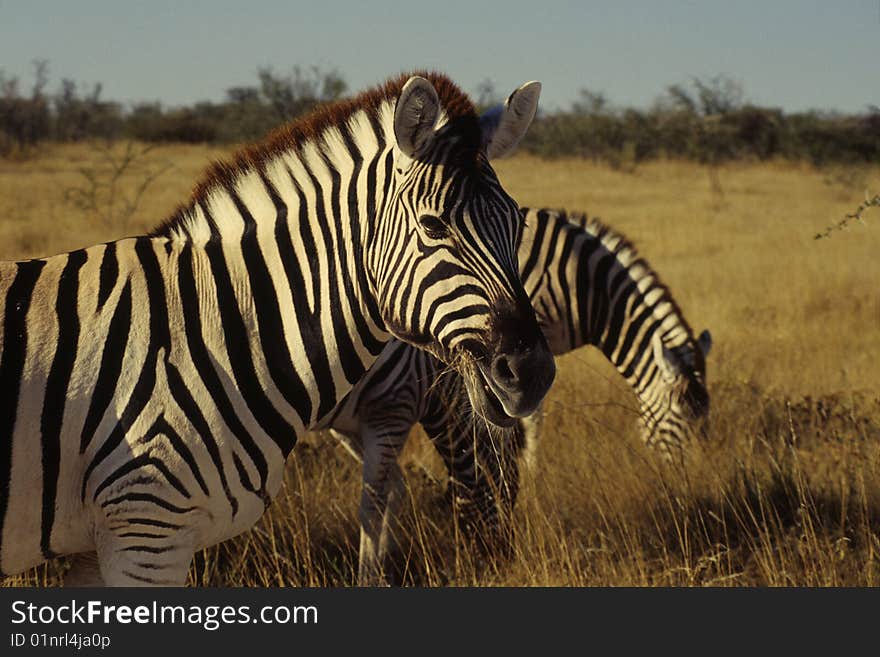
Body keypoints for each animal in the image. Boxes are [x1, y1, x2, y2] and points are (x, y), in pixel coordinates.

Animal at [0, 72, 556, 584]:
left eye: (517, 224)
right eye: (433, 225)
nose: (532, 374)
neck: (212, 330)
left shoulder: (97, 543)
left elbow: (384, 496)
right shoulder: (147, 527)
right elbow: (377, 500)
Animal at [324, 208, 716, 580]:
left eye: (705, 420)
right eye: (681, 419)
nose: (695, 484)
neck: (583, 283)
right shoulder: (524, 344)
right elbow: (528, 420)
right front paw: (532, 472)